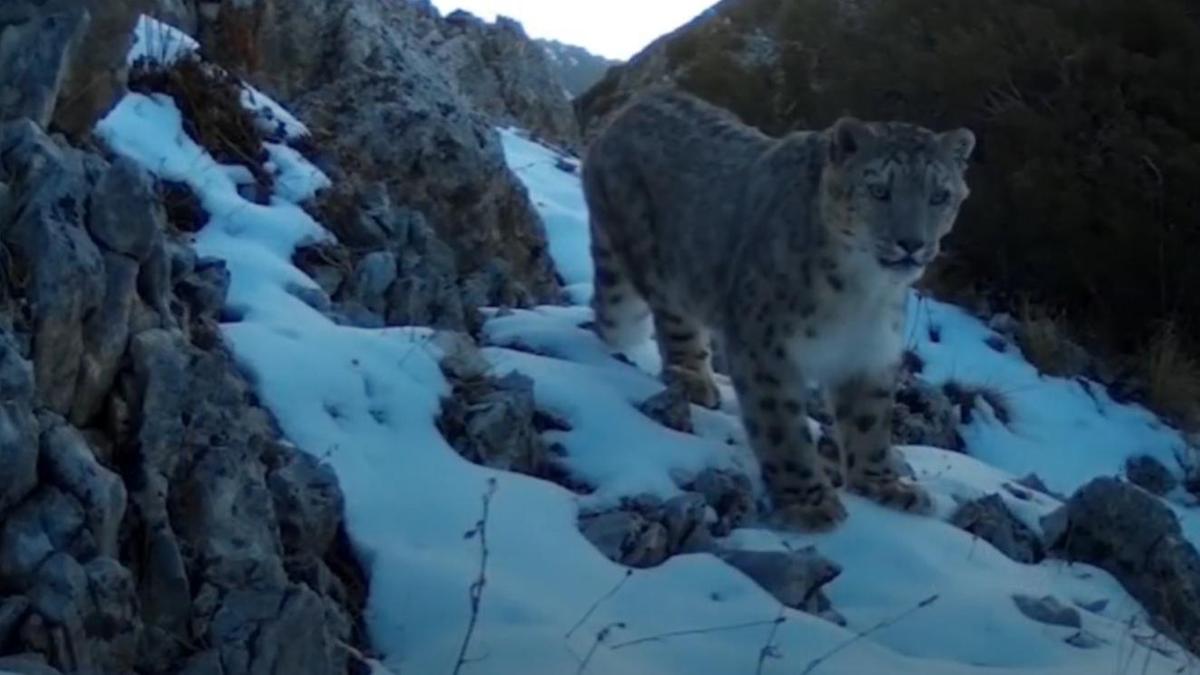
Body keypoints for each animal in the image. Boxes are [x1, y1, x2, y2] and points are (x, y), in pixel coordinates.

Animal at [580, 89, 974, 528]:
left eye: (939, 195)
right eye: (879, 190)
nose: (912, 243)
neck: (862, 290)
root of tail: (634, 103)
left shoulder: (870, 352)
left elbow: (870, 424)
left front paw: (884, 485)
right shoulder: (765, 348)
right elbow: (780, 425)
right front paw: (807, 502)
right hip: (660, 266)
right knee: (667, 321)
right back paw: (693, 379)